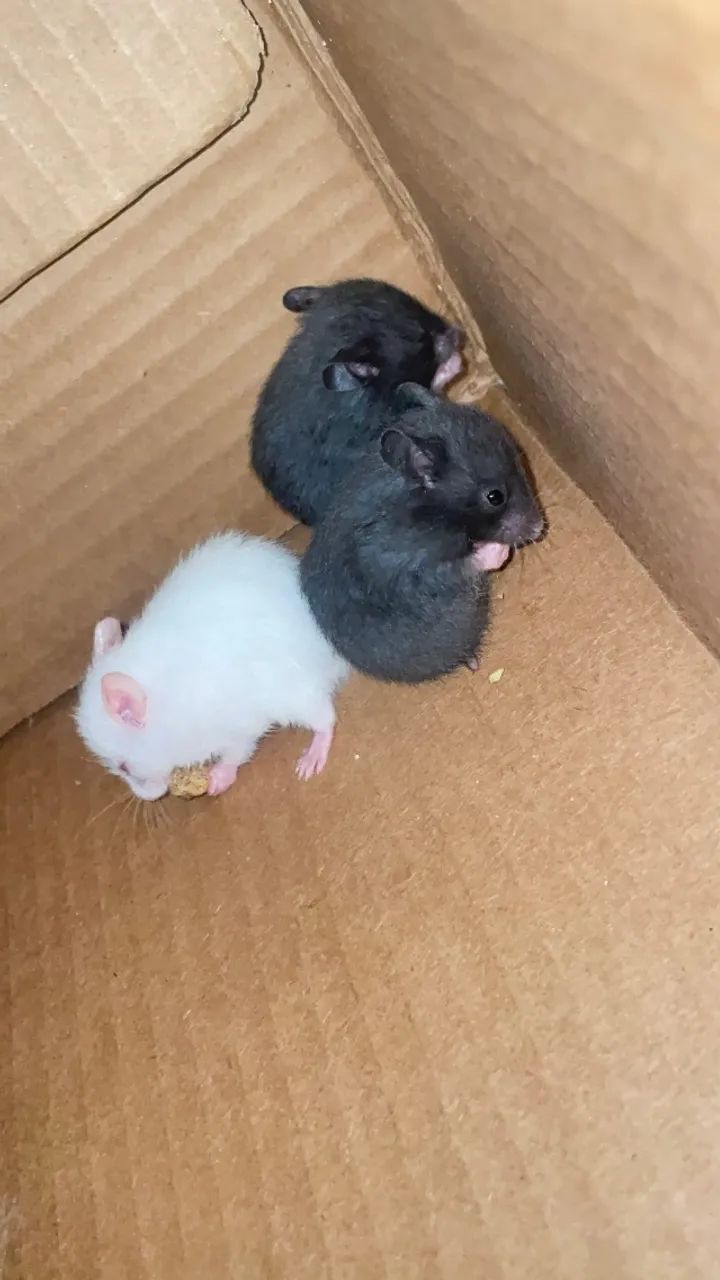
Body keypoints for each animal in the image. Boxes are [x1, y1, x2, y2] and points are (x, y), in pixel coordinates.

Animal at [75, 533, 349, 800]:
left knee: (326, 720)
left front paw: (216, 783)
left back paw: (309, 763)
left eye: (124, 767)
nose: (146, 798)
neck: (168, 706)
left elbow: (236, 754)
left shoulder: (237, 728)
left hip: (296, 696)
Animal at [300, 384, 544, 684]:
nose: (540, 528)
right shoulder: (408, 569)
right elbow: (465, 563)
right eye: (494, 496)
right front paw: (500, 549)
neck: (432, 512)